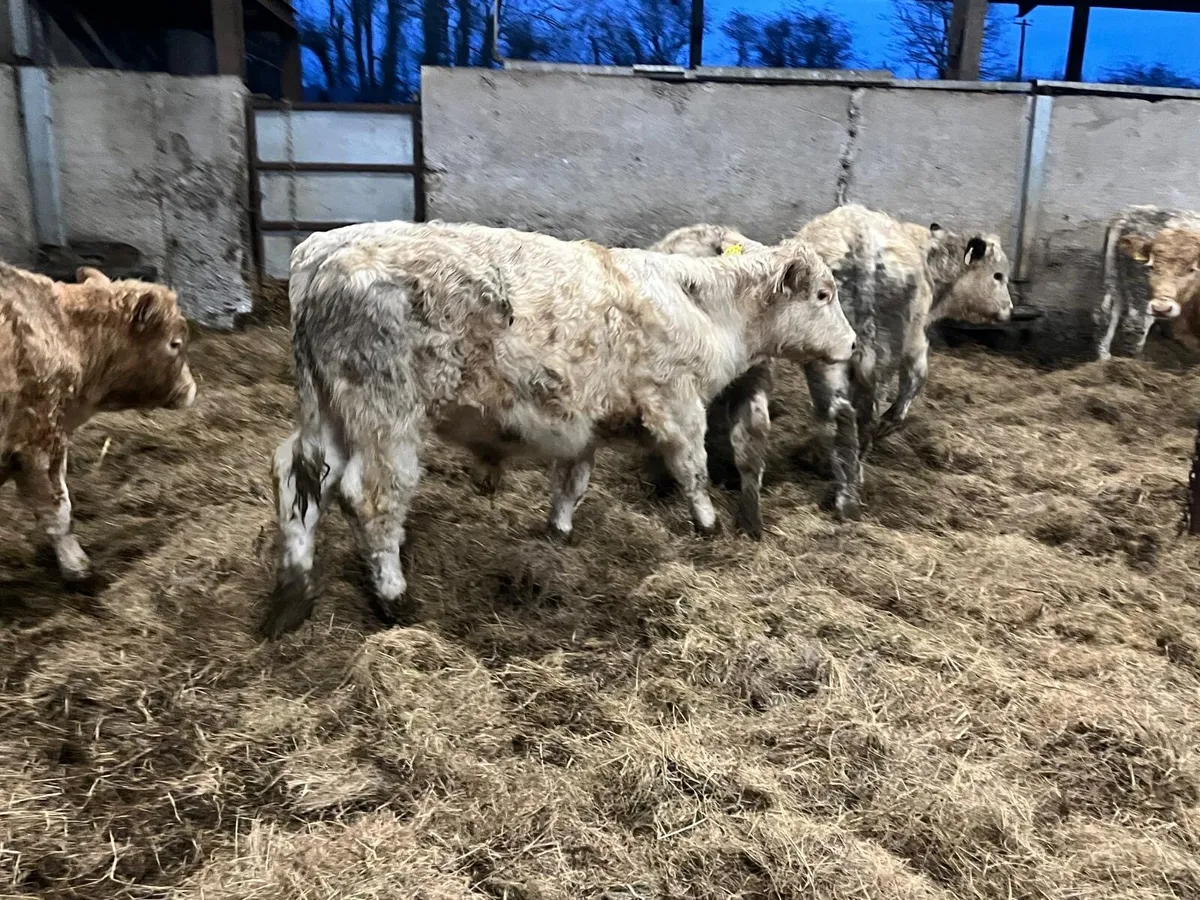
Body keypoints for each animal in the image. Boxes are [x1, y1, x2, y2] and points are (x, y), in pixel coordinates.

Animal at [263, 220, 856, 638]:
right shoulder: (676, 402)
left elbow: (573, 482)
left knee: (300, 478)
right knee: (372, 497)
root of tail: (323, 252)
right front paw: (708, 527)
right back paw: (393, 598)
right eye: (823, 295)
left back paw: (294, 593)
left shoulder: (582, 422)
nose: (852, 343)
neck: (700, 303)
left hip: (329, 414)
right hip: (386, 415)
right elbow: (693, 471)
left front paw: (559, 534)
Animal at [1099, 206, 1200, 359]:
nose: (1163, 308)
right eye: (1151, 266)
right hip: (1140, 291)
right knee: (1136, 324)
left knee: (1110, 313)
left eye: (1190, 269)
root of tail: (1127, 215)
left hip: (1116, 278)